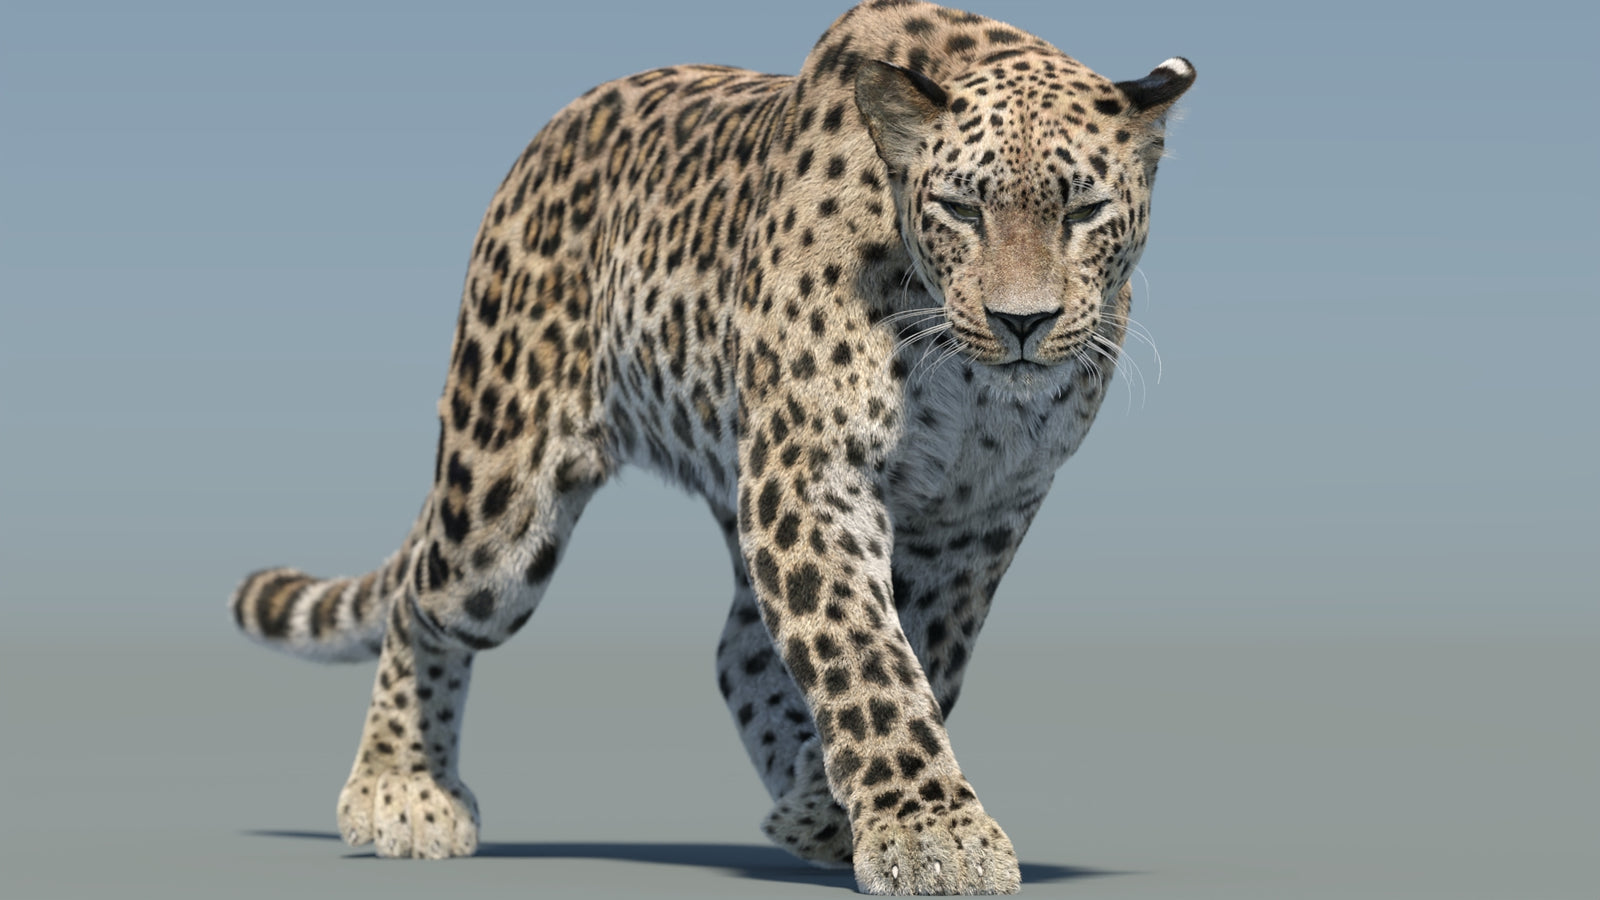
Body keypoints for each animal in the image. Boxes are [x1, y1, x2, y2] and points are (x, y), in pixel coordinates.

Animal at [228, 1, 1193, 894]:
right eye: (961, 208)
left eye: (1085, 211)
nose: (1021, 322)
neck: (968, 381)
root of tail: (550, 133)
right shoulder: (811, 475)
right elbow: (865, 658)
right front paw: (931, 834)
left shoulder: (977, 515)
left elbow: (925, 652)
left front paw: (841, 810)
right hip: (500, 499)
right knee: (422, 598)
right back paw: (401, 787)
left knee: (738, 653)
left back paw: (799, 800)